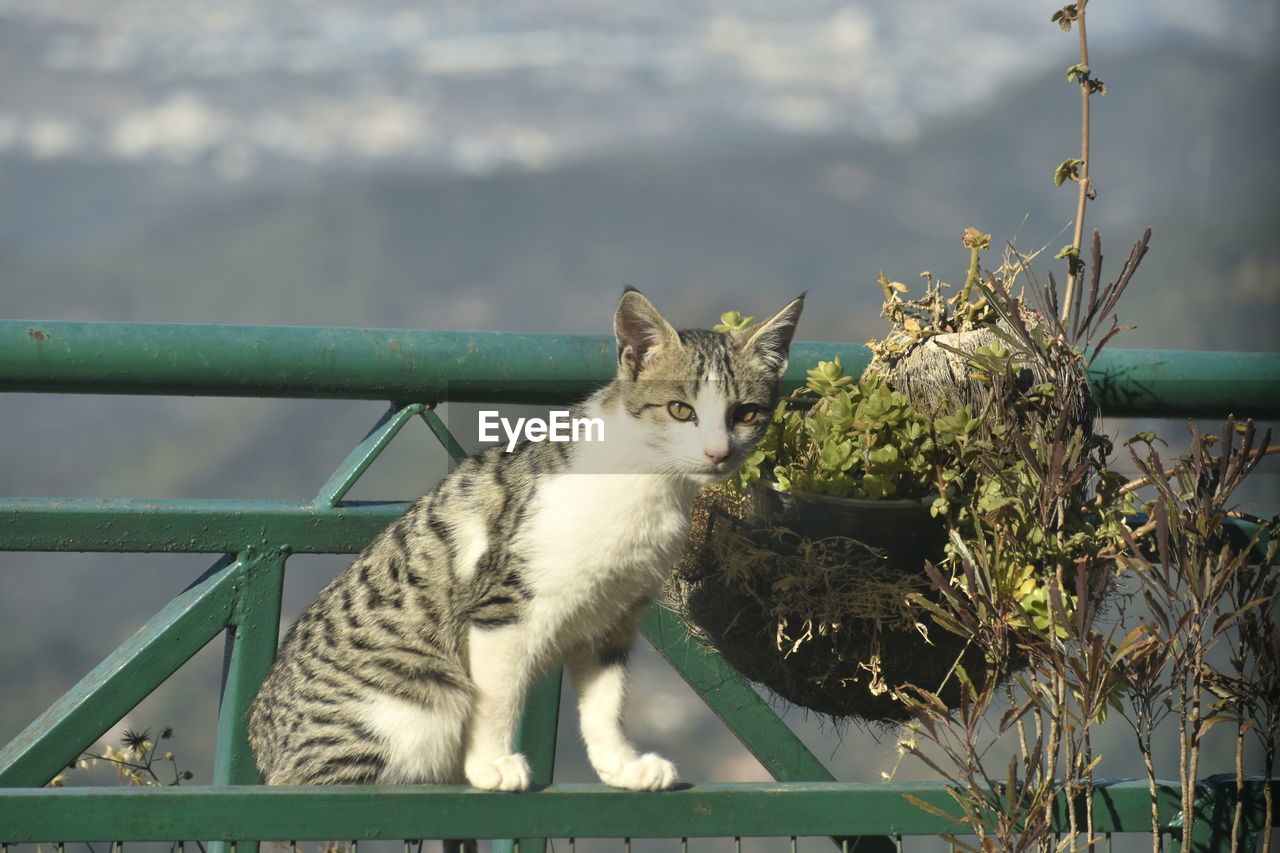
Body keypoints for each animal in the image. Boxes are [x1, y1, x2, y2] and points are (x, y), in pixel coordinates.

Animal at [247, 286, 798, 788]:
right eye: (682, 410)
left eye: (746, 413)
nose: (717, 453)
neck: (648, 487)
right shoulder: (503, 608)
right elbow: (497, 699)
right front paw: (491, 765)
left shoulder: (614, 616)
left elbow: (606, 701)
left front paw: (620, 766)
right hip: (408, 705)